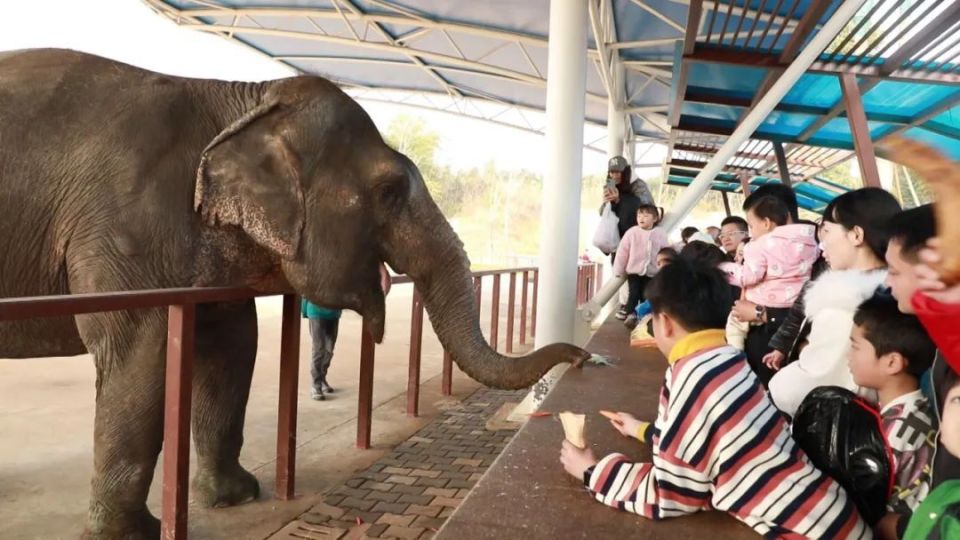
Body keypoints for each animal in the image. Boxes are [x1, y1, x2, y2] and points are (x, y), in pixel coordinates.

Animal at [0, 48, 588, 536]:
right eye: (389, 191)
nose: (584, 357)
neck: (242, 100)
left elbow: (234, 344)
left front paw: (237, 496)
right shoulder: (128, 225)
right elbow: (140, 352)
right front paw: (132, 534)